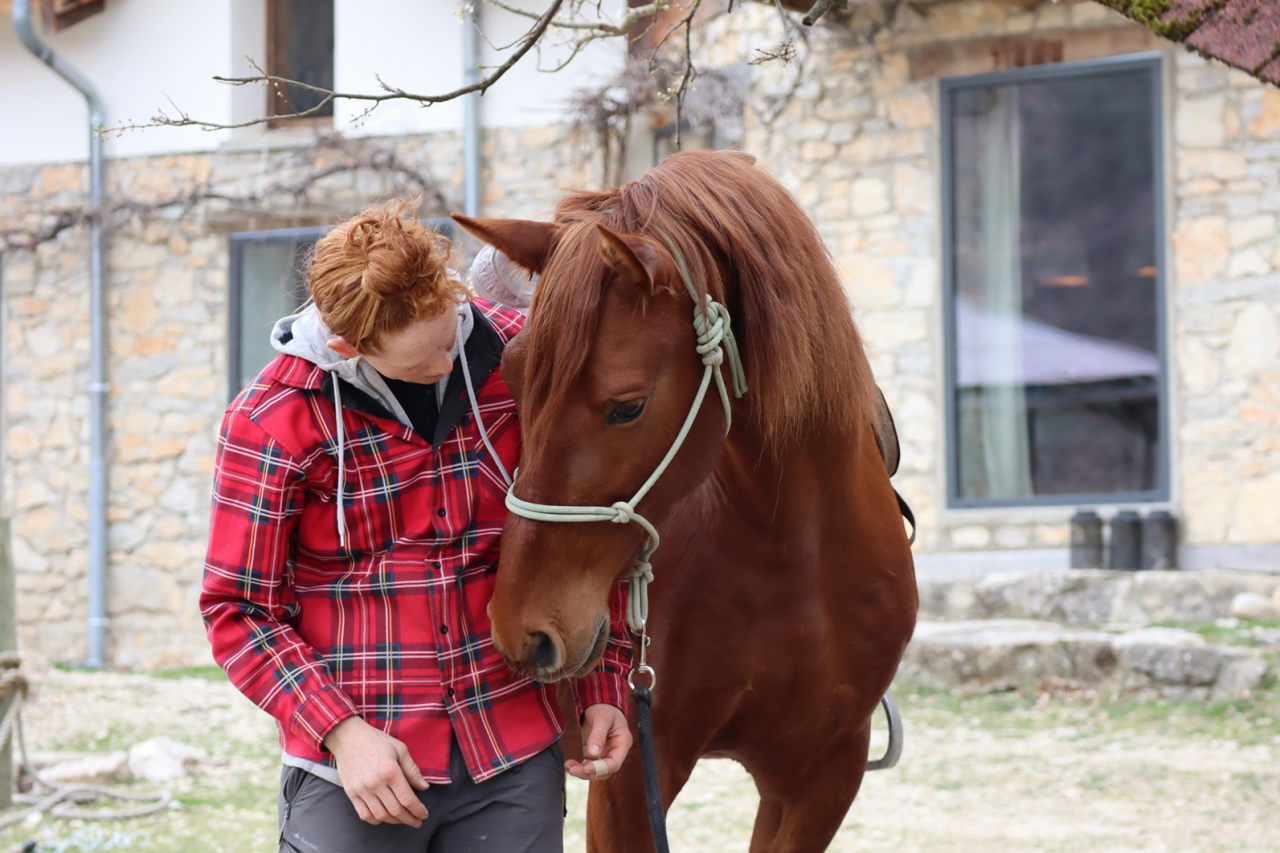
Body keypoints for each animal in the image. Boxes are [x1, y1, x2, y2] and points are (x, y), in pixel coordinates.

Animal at [454, 148, 918, 853]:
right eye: (508, 372)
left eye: (628, 406)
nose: (517, 627)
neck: (791, 554)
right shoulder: (634, 773)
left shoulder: (820, 772)